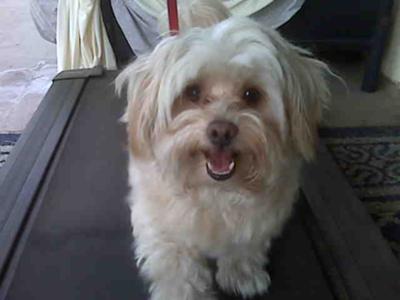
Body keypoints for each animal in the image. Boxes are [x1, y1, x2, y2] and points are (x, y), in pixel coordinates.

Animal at [115, 1, 328, 298]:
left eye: (251, 94)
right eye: (192, 92)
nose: (221, 131)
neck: (215, 191)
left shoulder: (254, 225)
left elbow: (242, 248)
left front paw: (242, 275)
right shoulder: (163, 230)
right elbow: (180, 270)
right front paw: (182, 292)